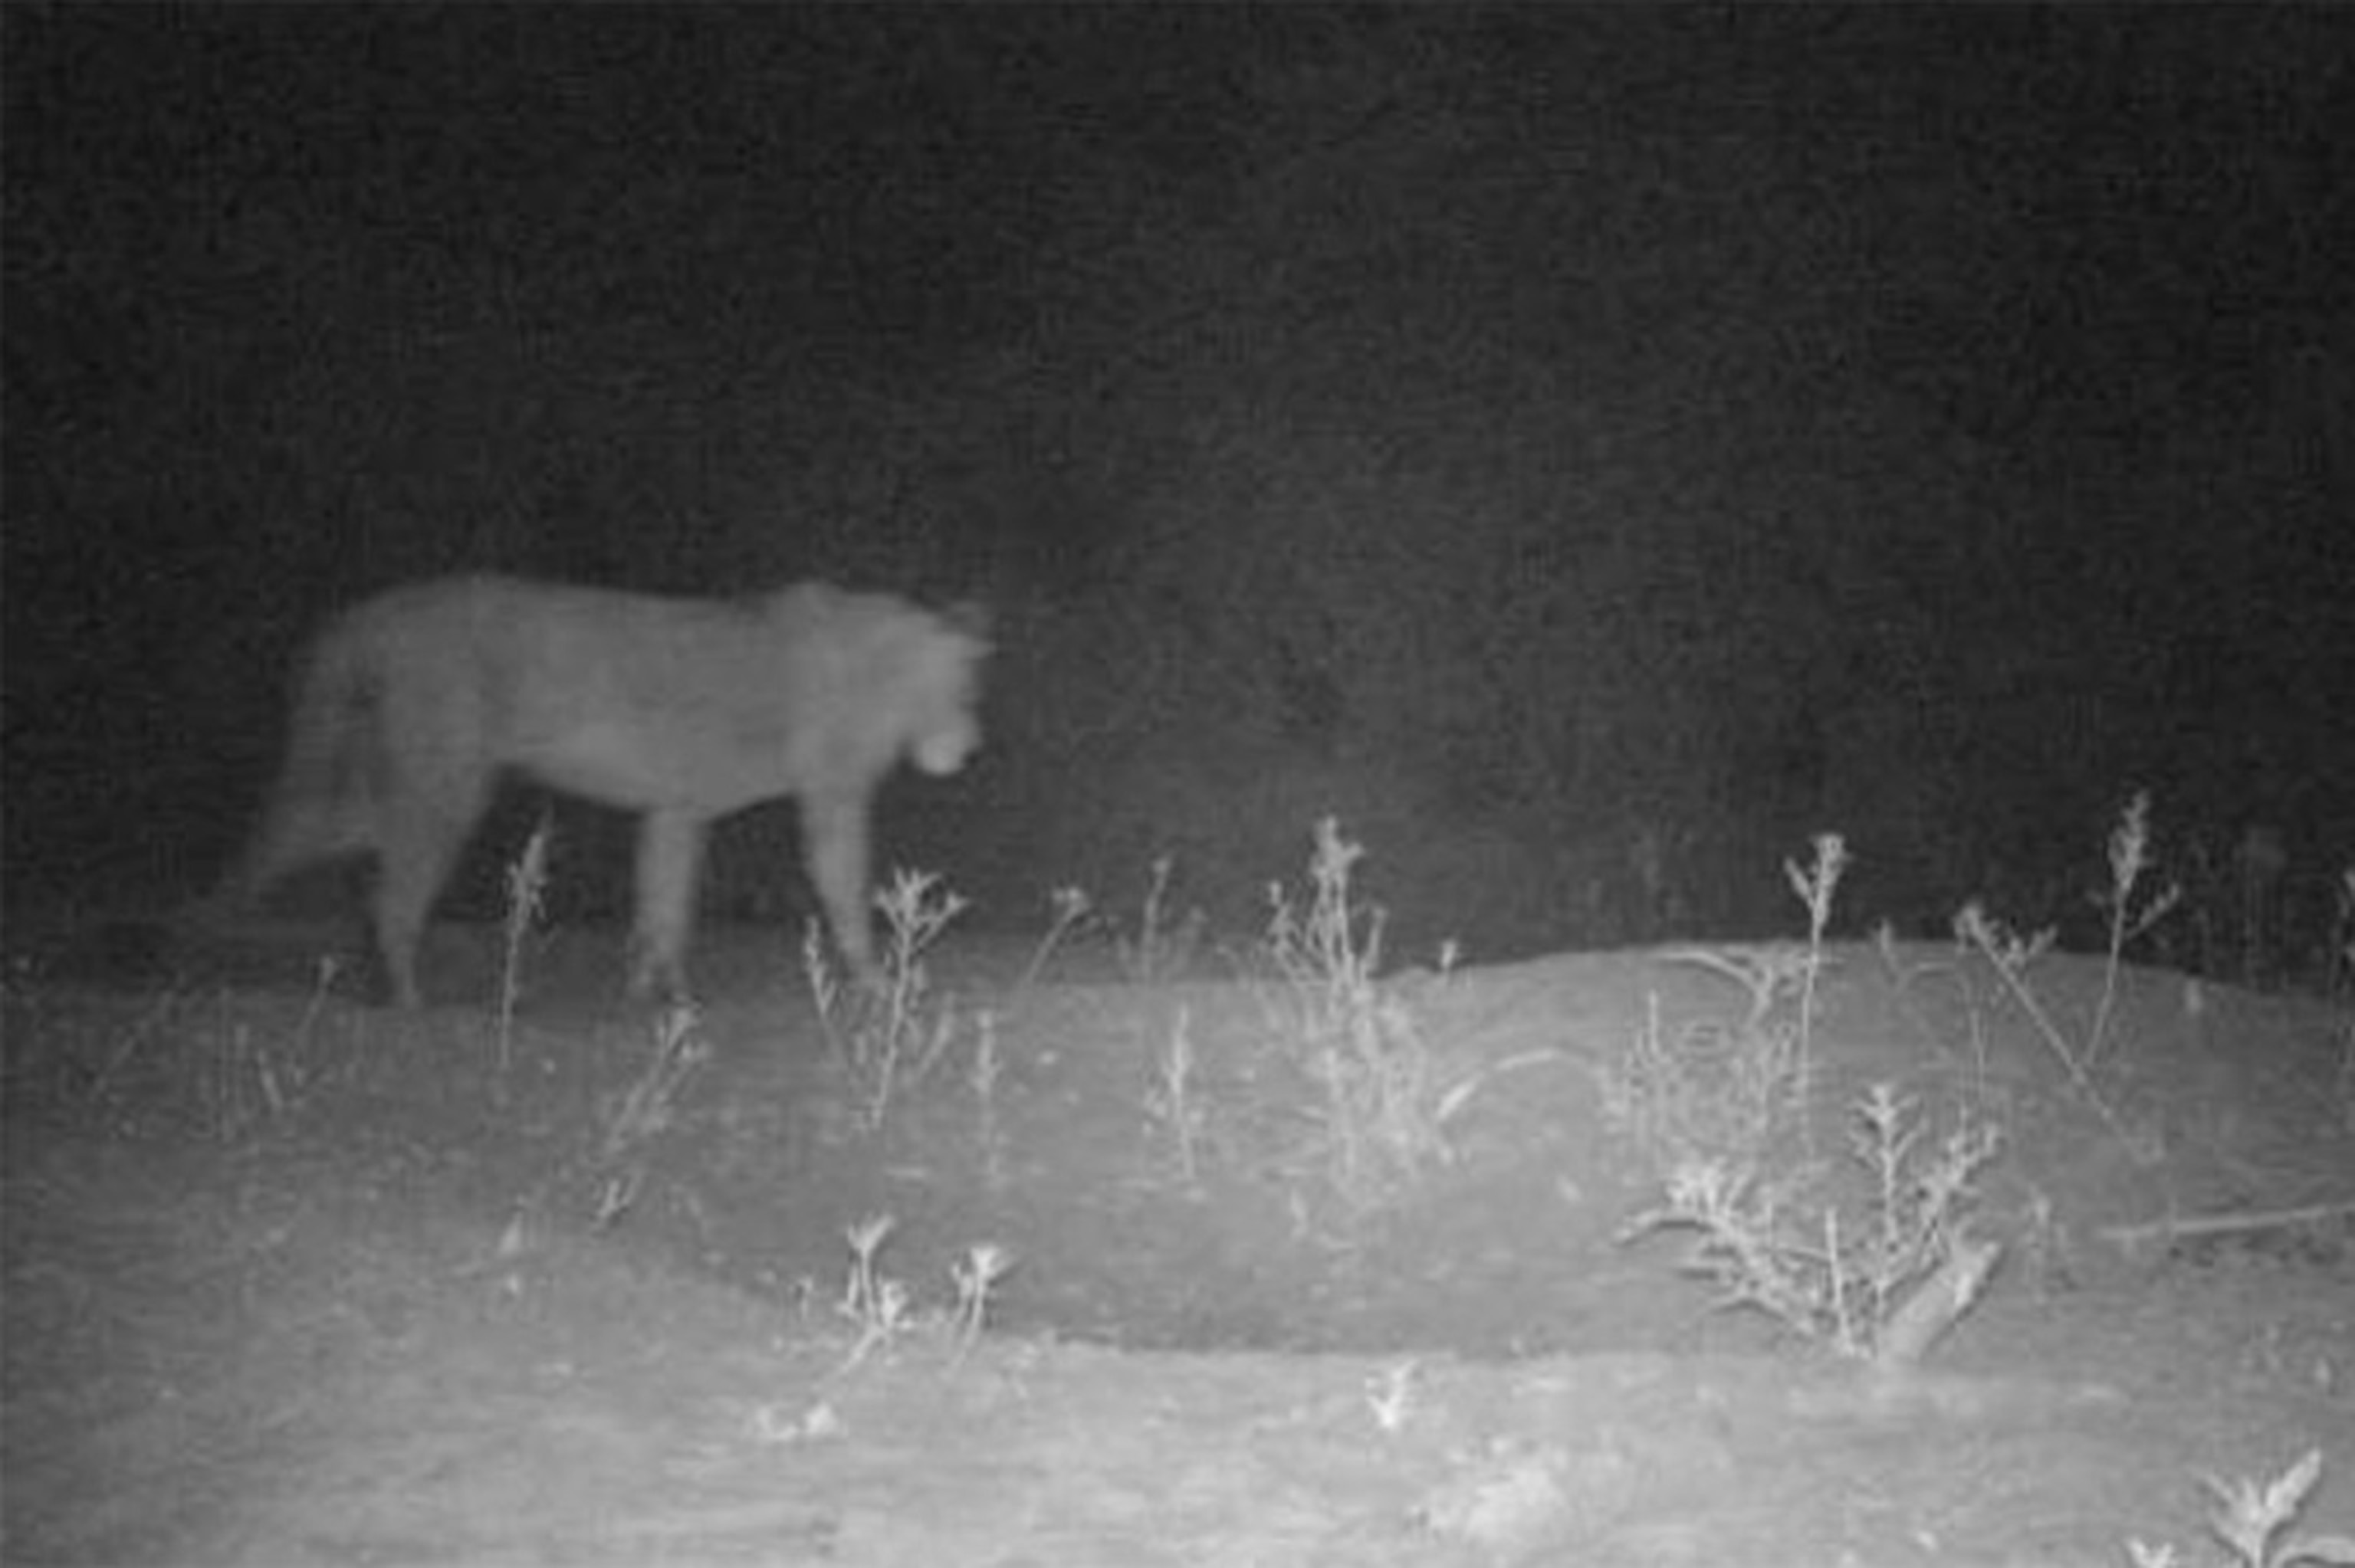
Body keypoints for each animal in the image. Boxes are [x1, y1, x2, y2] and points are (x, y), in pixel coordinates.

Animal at [209, 574, 990, 1007]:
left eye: (969, 681)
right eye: (941, 682)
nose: (968, 744)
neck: (873, 671)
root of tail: (370, 613)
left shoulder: (677, 806)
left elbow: (664, 902)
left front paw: (657, 992)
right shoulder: (831, 795)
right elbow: (842, 883)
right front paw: (876, 983)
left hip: (408, 782)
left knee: (311, 833)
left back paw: (227, 933)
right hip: (445, 781)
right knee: (392, 890)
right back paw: (406, 997)